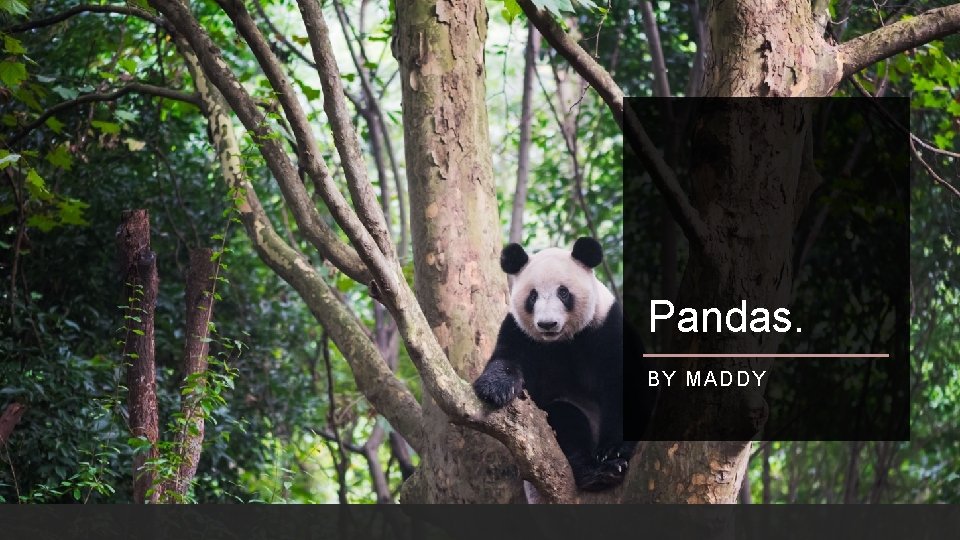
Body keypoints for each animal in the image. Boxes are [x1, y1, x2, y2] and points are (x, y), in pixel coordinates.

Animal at [473, 237, 644, 491]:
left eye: (563, 292)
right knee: (565, 418)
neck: (561, 341)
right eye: (532, 296)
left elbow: (623, 386)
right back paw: (594, 474)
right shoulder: (520, 332)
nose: (547, 324)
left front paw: (613, 451)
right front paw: (494, 388)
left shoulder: (606, 327)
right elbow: (507, 360)